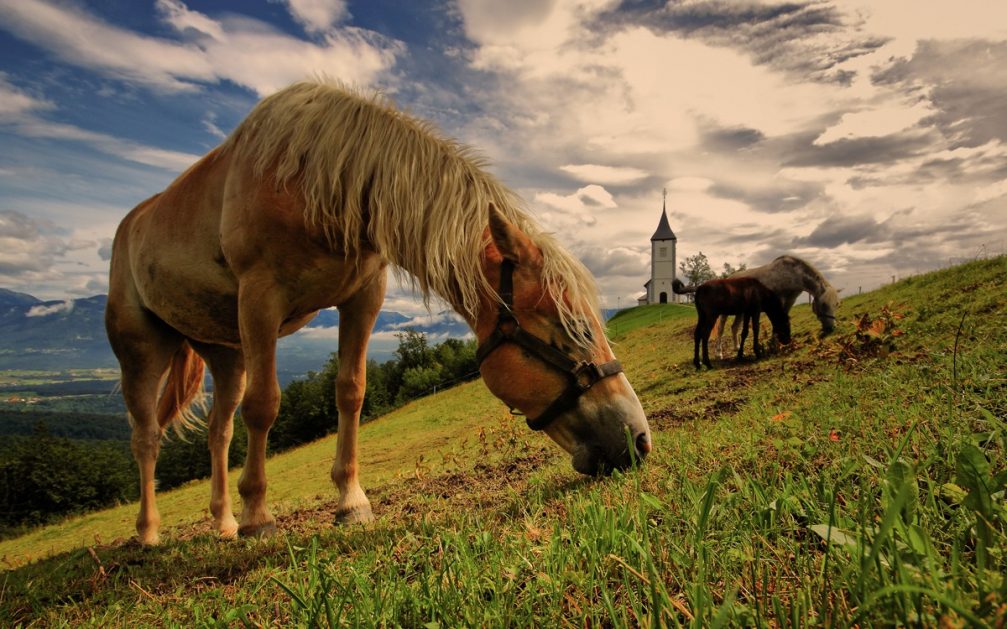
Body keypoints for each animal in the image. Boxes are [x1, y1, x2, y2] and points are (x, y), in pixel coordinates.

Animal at [104, 79, 652, 543]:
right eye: (571, 327)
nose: (639, 440)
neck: (311, 177)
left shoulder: (364, 296)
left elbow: (351, 392)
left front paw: (351, 503)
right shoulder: (259, 299)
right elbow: (265, 405)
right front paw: (259, 516)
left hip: (224, 350)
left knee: (219, 432)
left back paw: (223, 523)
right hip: (142, 349)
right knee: (145, 437)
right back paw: (150, 533)